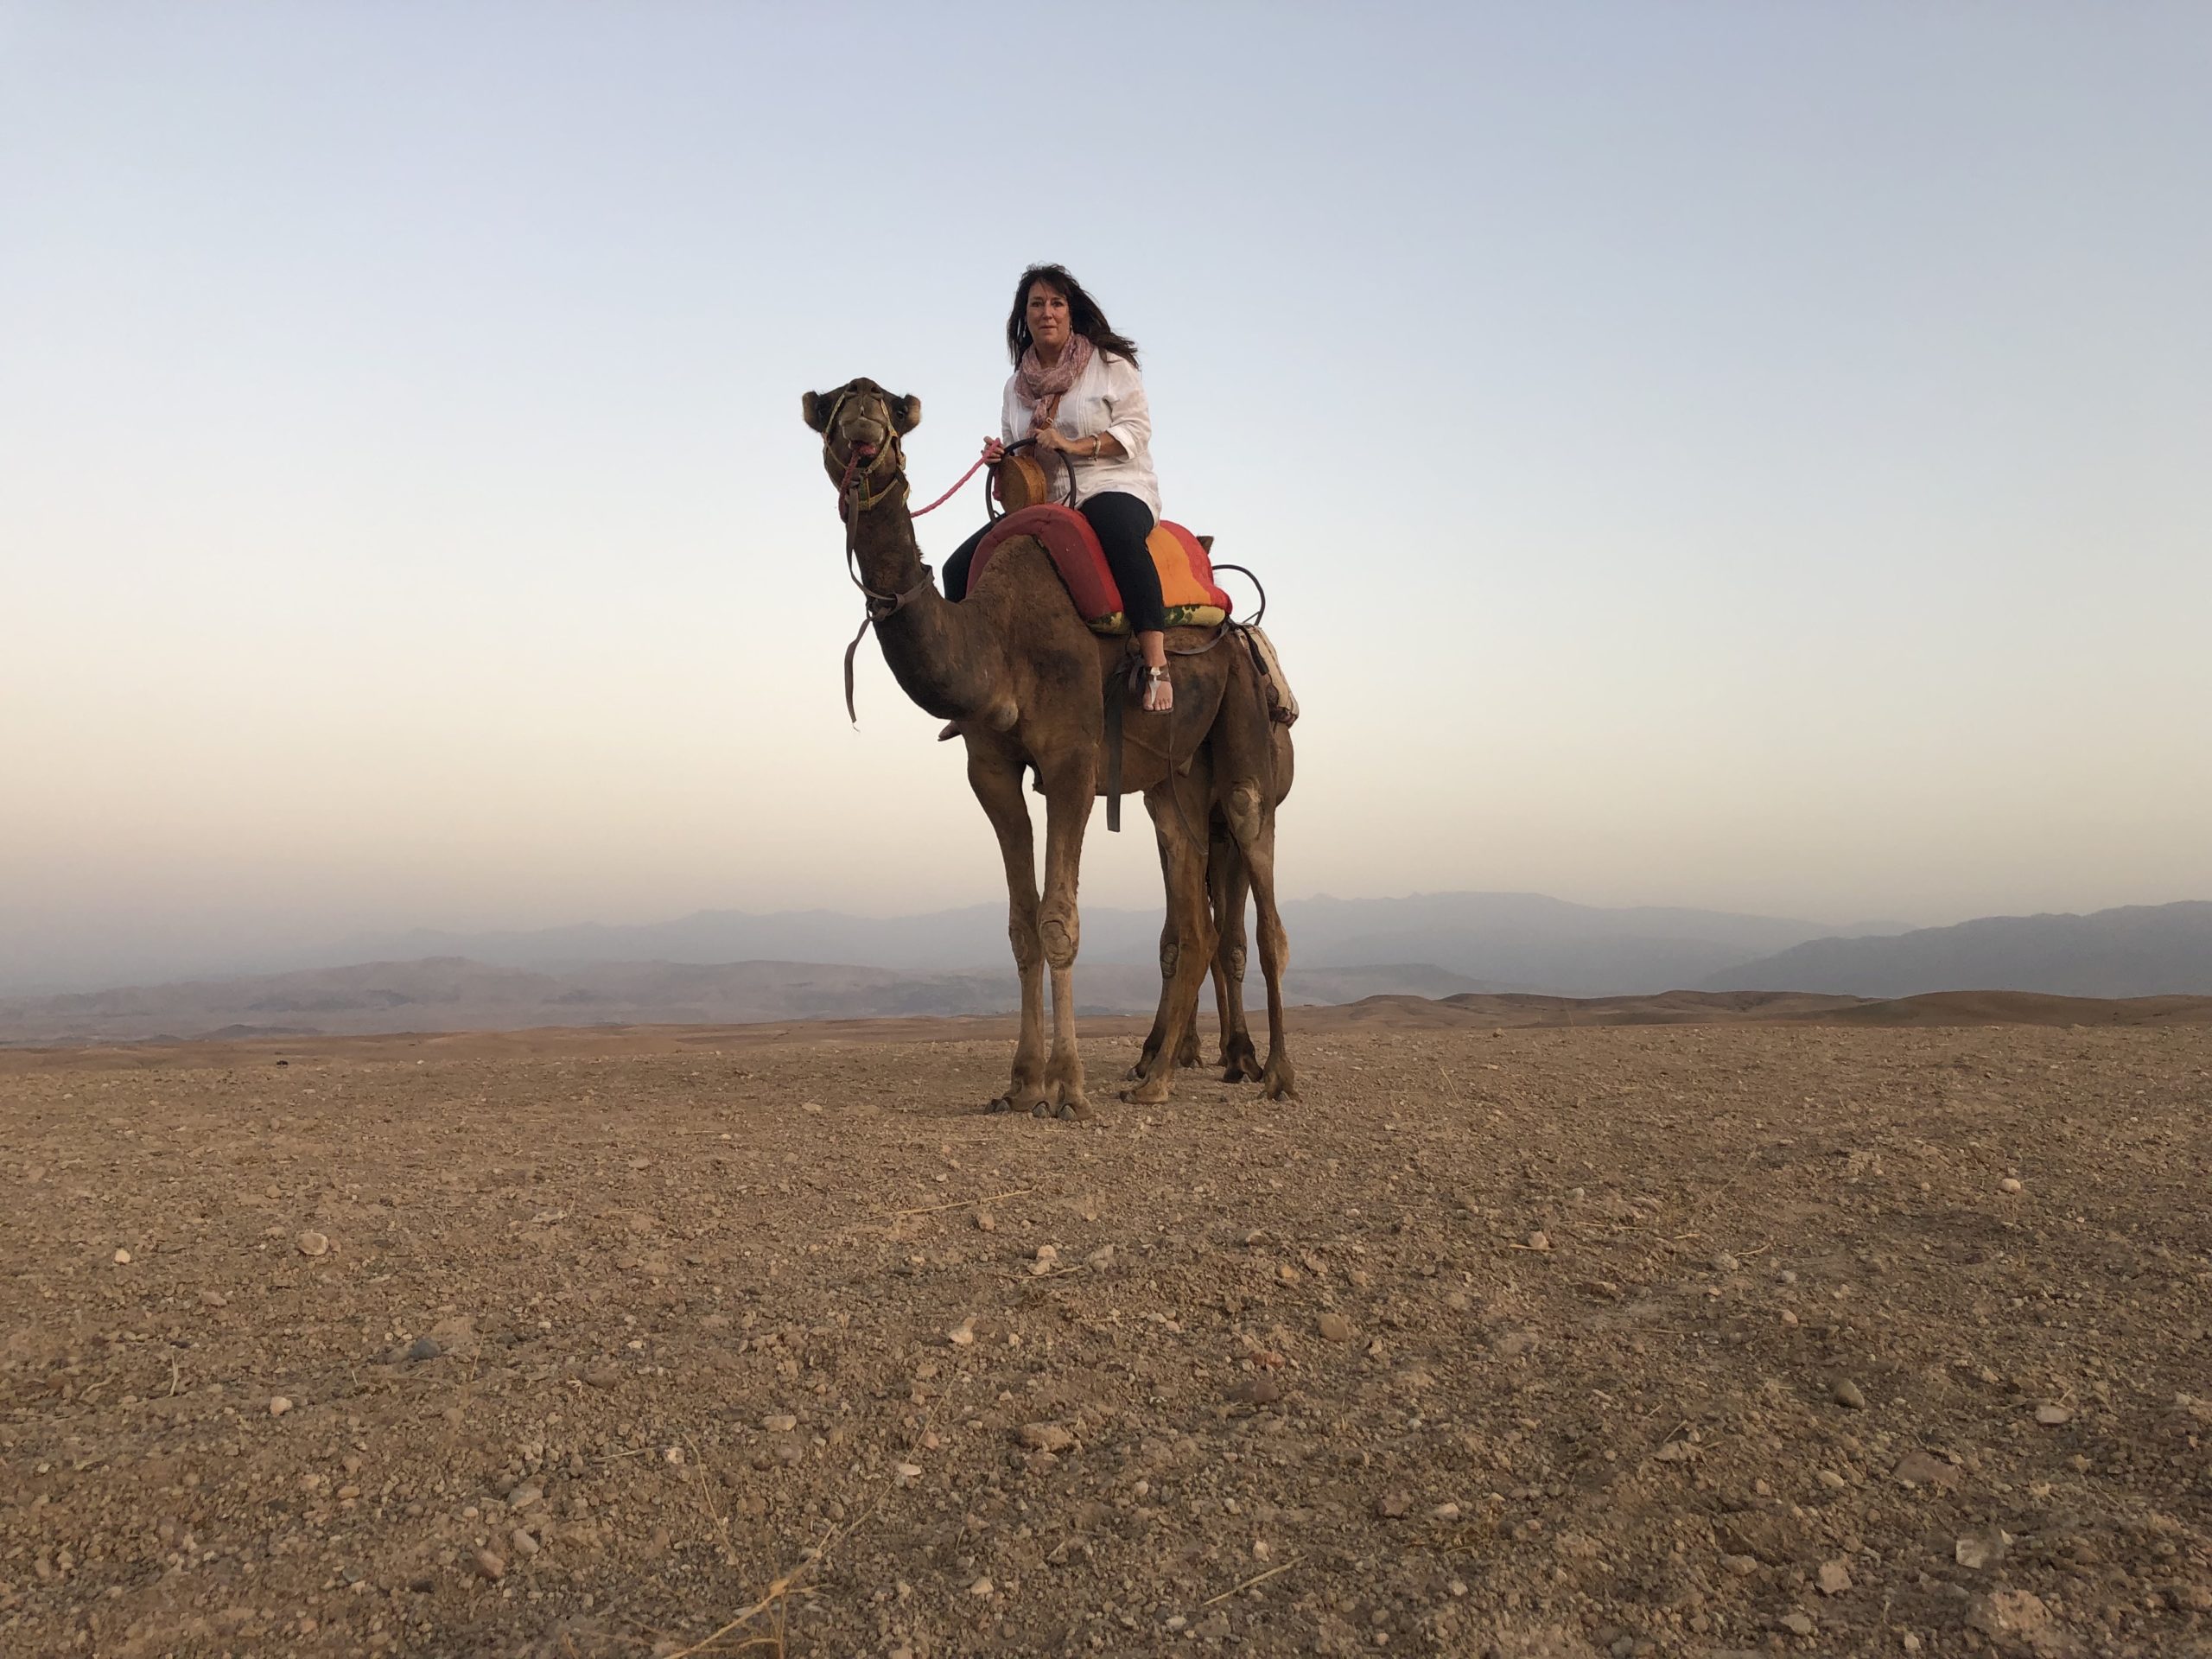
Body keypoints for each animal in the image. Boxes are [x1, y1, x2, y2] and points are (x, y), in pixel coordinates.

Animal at [809, 380, 1292, 1119]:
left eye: (893, 408)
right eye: (829, 407)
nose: (861, 408)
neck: (998, 641)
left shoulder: (1072, 758)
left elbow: (1060, 920)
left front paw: (1067, 1086)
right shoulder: (991, 769)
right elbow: (1021, 925)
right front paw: (1021, 1082)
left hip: (1239, 714)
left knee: (1257, 893)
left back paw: (1276, 1073)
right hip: (1173, 778)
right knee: (1193, 910)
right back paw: (1154, 1080)